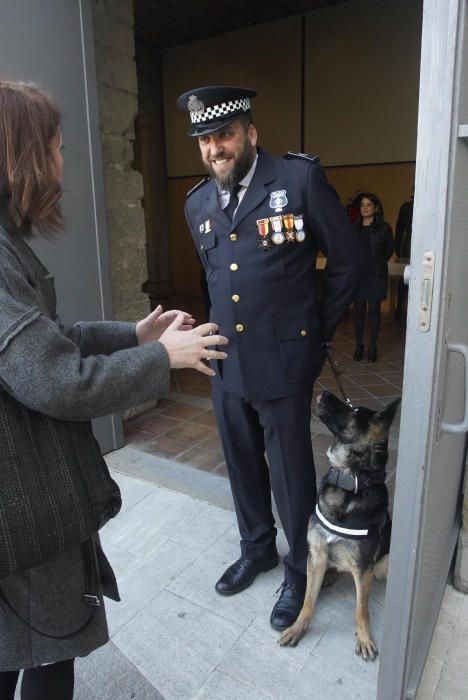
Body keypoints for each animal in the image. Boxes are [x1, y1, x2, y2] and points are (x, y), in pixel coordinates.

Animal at [280, 392, 400, 660]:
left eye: (353, 411)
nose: (323, 393)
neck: (349, 482)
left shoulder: (363, 568)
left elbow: (361, 609)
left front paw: (364, 638)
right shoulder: (315, 554)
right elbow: (307, 601)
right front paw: (298, 628)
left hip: (381, 565)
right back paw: (329, 575)